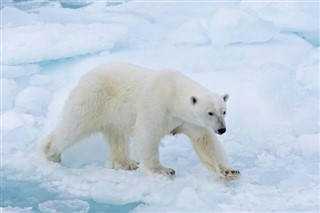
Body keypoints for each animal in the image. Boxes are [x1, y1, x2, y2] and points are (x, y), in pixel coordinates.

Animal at [43, 62, 241, 179]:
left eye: (224, 111)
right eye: (210, 113)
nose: (222, 129)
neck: (174, 92)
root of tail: (86, 75)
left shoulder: (189, 120)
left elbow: (205, 141)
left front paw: (230, 170)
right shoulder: (156, 105)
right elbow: (147, 134)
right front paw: (163, 170)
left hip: (113, 113)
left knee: (116, 135)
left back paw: (128, 163)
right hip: (93, 99)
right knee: (73, 126)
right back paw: (51, 153)